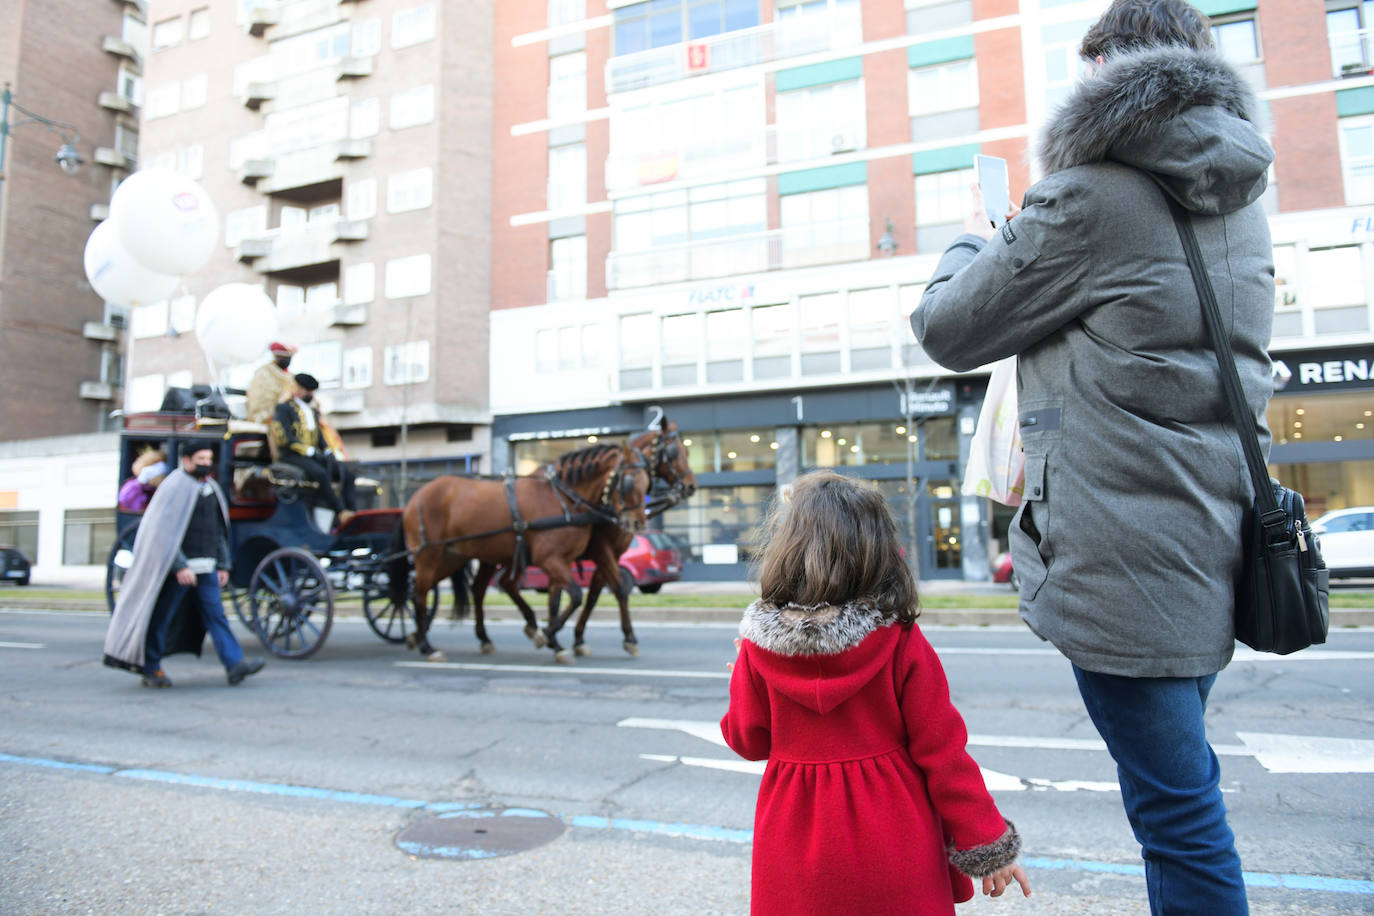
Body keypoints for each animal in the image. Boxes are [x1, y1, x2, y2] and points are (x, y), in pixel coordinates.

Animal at [381, 442, 648, 659]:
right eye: (629, 482)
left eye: (647, 482)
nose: (637, 523)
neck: (563, 498)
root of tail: (414, 499)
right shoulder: (551, 559)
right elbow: (575, 595)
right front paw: (548, 635)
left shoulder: (566, 560)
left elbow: (576, 595)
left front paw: (554, 638)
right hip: (428, 555)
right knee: (420, 594)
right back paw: (427, 646)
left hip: (452, 557)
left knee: (454, 590)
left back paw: (435, 636)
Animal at [469, 422, 697, 659]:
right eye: (673, 452)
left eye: (686, 450)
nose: (691, 485)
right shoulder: (600, 551)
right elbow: (616, 588)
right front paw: (627, 638)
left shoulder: (603, 556)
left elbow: (589, 595)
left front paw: (573, 638)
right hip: (490, 554)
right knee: (482, 588)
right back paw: (487, 636)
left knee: (504, 583)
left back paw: (525, 627)